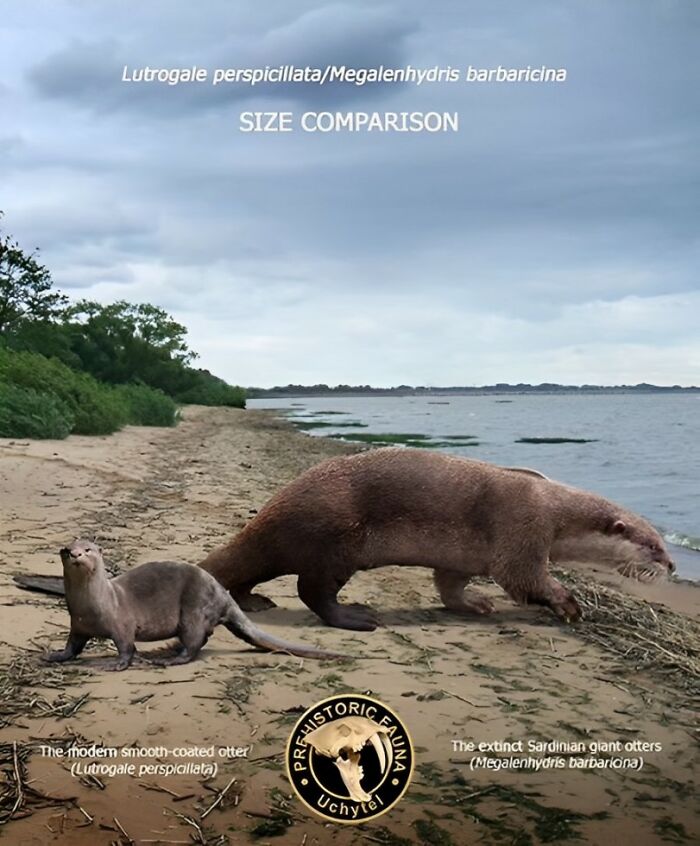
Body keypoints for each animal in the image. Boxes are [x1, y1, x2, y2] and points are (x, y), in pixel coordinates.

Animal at [46, 539, 344, 670]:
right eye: (66, 550)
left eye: (87, 549)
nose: (75, 554)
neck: (93, 605)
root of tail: (223, 594)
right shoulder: (77, 626)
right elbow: (72, 646)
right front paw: (55, 656)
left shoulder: (122, 624)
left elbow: (126, 647)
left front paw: (117, 665)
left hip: (194, 609)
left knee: (195, 642)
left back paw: (170, 659)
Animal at [199, 449, 675, 630]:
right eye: (653, 545)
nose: (672, 566)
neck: (555, 507)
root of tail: (277, 504)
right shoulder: (524, 529)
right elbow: (523, 578)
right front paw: (569, 605)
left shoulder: (460, 560)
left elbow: (450, 586)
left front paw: (475, 604)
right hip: (336, 541)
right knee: (312, 590)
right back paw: (357, 617)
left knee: (248, 572)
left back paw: (253, 602)